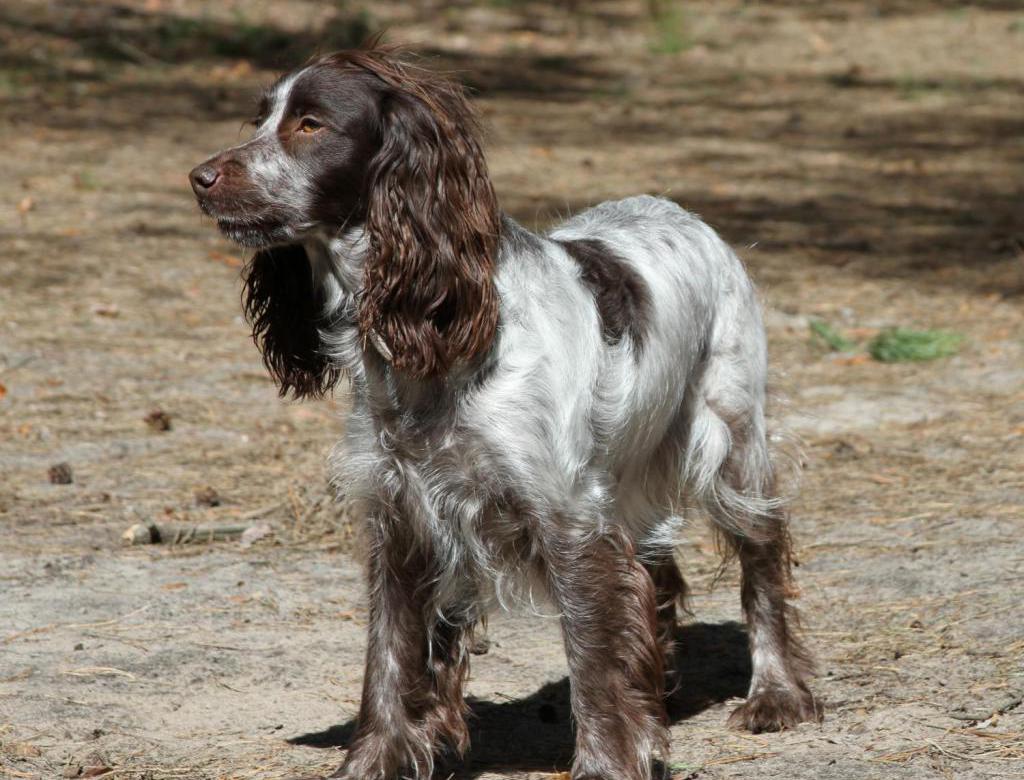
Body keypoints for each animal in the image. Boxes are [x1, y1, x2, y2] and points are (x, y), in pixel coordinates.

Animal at [188, 44, 819, 777]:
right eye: (262, 117)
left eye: (311, 124)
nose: (200, 177)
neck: (439, 342)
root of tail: (684, 214)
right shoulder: (403, 516)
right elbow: (390, 659)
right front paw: (373, 761)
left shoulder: (567, 519)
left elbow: (593, 658)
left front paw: (608, 762)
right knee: (655, 568)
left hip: (729, 442)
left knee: (762, 555)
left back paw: (776, 693)